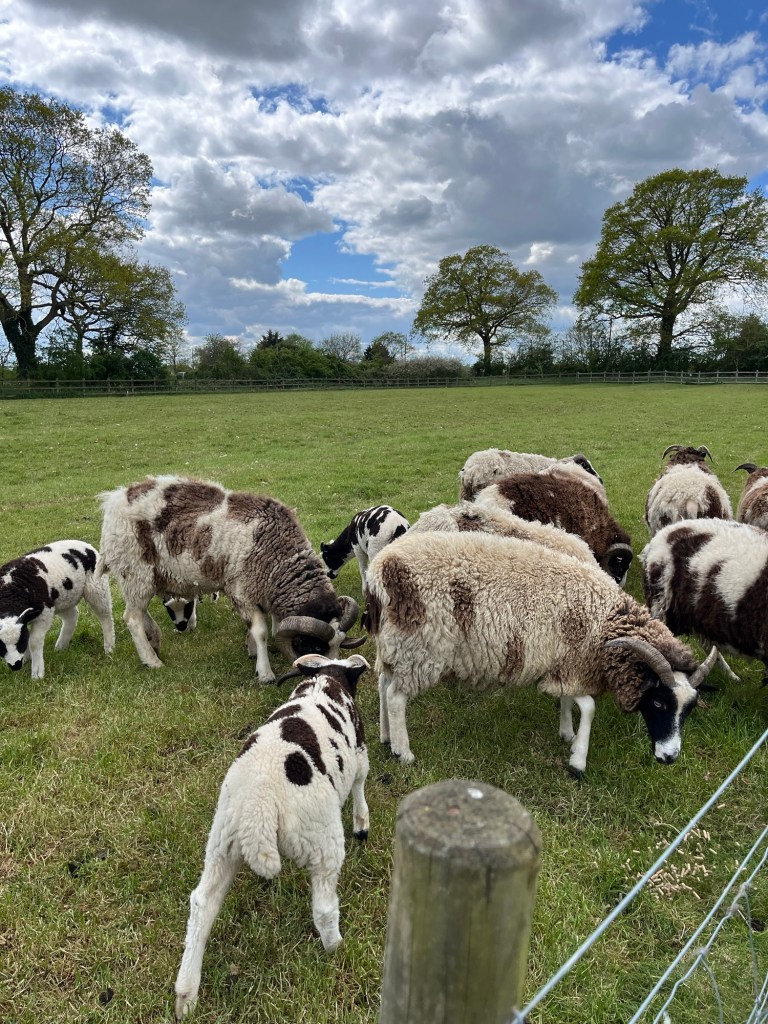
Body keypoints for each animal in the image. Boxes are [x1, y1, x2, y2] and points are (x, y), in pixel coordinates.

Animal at [0, 540, 114, 679]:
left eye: (20, 641)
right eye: (0, 645)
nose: (15, 666)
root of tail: (86, 545)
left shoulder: (45, 613)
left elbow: (34, 641)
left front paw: (37, 673)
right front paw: (26, 658)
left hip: (96, 587)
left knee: (106, 617)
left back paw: (109, 648)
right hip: (64, 598)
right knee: (72, 616)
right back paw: (61, 646)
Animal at [97, 476, 364, 682]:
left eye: (339, 646)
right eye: (316, 647)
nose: (333, 677)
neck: (277, 553)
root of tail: (114, 500)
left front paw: (252, 651)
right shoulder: (241, 590)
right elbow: (261, 630)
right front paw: (264, 672)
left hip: (145, 577)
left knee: (140, 613)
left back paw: (154, 641)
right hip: (136, 571)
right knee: (132, 618)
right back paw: (151, 661)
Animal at [174, 653, 371, 1019]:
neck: (325, 679)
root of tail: (258, 806)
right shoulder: (360, 753)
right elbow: (360, 783)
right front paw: (362, 823)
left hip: (222, 841)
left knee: (202, 904)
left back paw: (186, 995)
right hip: (322, 838)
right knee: (323, 908)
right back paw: (336, 948)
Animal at [365, 531, 715, 776]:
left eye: (689, 709)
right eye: (658, 703)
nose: (669, 757)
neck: (606, 621)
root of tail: (378, 572)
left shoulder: (566, 661)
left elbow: (568, 700)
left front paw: (566, 732)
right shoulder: (573, 660)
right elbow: (589, 708)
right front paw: (578, 760)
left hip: (396, 647)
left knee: (383, 684)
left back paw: (385, 738)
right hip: (419, 649)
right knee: (396, 697)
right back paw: (403, 753)